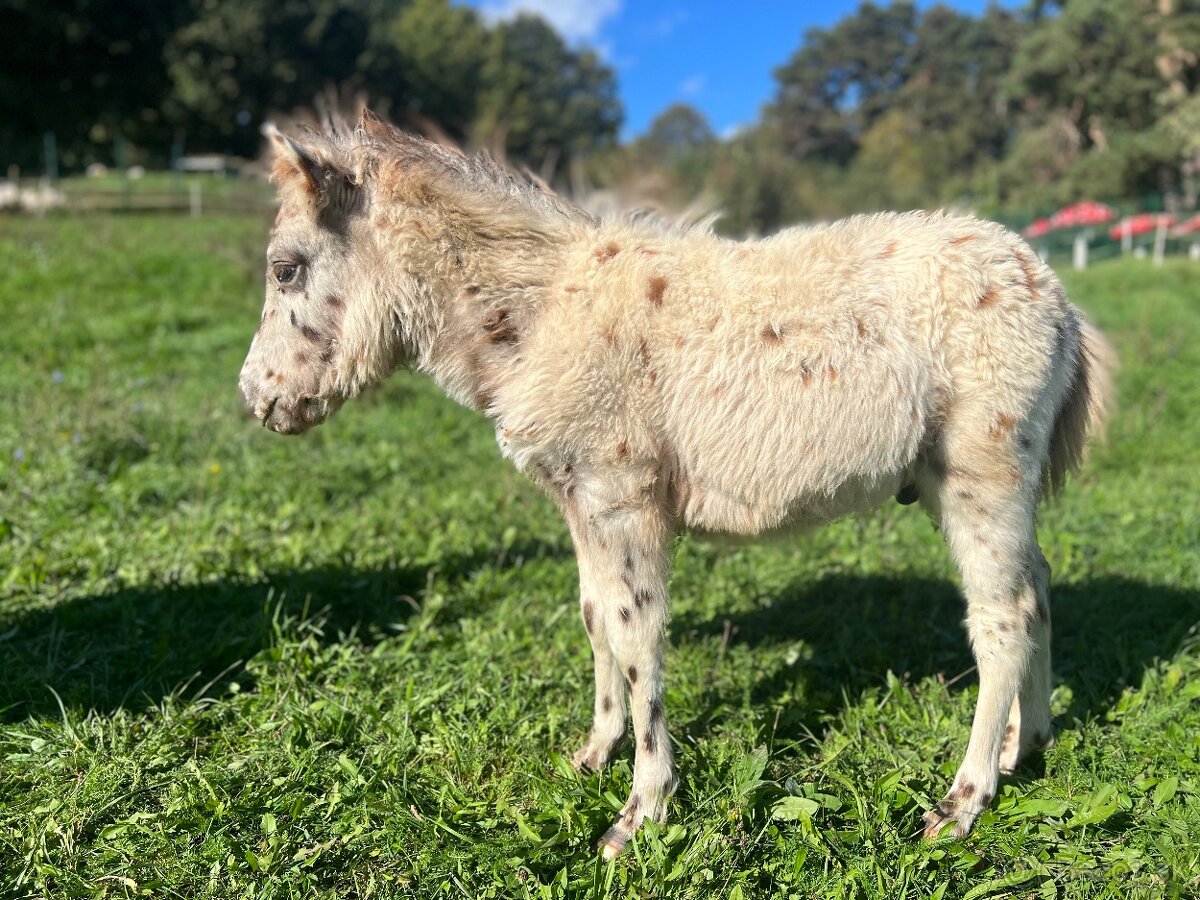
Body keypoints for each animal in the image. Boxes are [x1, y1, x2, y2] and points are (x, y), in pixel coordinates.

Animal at [238, 114, 1108, 859]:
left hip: (981, 475)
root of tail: (1056, 296)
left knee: (1001, 618)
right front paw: (594, 752)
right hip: (985, 484)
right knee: (1038, 588)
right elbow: (595, 619)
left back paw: (963, 799)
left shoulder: (625, 500)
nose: (259, 400)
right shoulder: (581, 502)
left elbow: (639, 638)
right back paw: (1028, 743)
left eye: (287, 269)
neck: (544, 312)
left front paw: (642, 810)